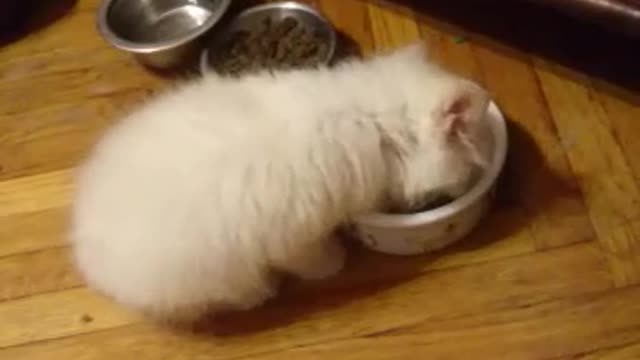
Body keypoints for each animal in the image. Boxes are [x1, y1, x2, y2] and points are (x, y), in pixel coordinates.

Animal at [69, 43, 490, 324]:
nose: (466, 185)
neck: (374, 125)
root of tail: (89, 258)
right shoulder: (293, 237)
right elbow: (314, 259)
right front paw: (334, 265)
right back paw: (260, 295)